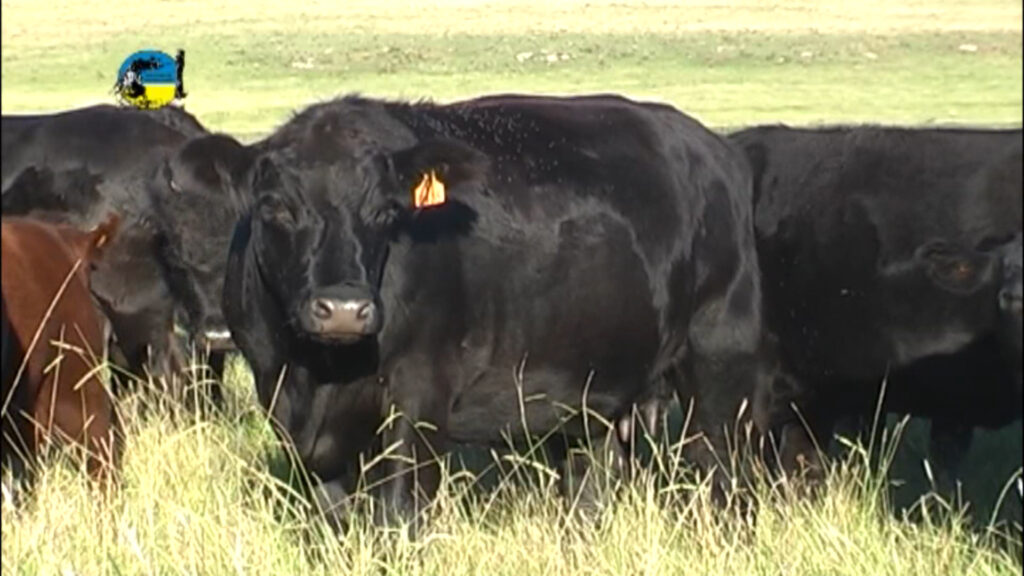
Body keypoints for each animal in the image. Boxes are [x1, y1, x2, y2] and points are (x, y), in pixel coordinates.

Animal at [221, 93, 780, 531]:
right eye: (275, 207)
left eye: (384, 211)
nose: (343, 309)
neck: (320, 374)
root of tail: (716, 149)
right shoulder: (284, 406)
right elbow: (331, 517)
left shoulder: (419, 392)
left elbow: (399, 510)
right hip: (589, 390)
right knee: (589, 485)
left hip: (719, 358)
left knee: (724, 472)